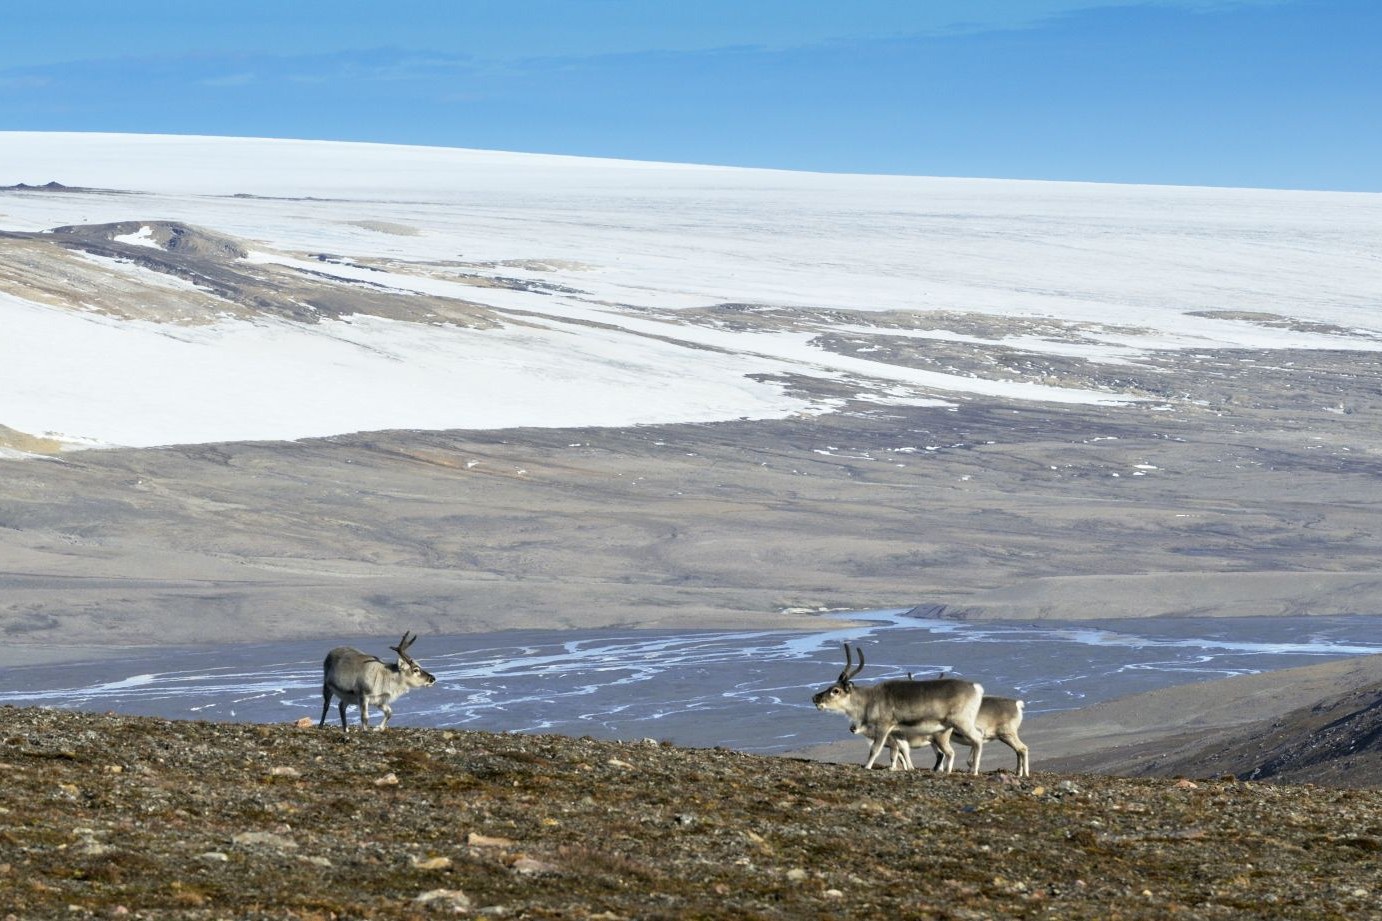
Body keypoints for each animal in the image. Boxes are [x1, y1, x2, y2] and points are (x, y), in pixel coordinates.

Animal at [812, 642, 985, 773]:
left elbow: (875, 749)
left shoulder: (884, 725)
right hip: (945, 731)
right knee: (951, 751)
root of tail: (977, 688)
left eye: (836, 690)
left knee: (977, 739)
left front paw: (867, 767)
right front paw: (909, 769)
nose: (815, 698)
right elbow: (903, 751)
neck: (869, 700)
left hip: (962, 722)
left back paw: (974, 771)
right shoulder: (898, 732)